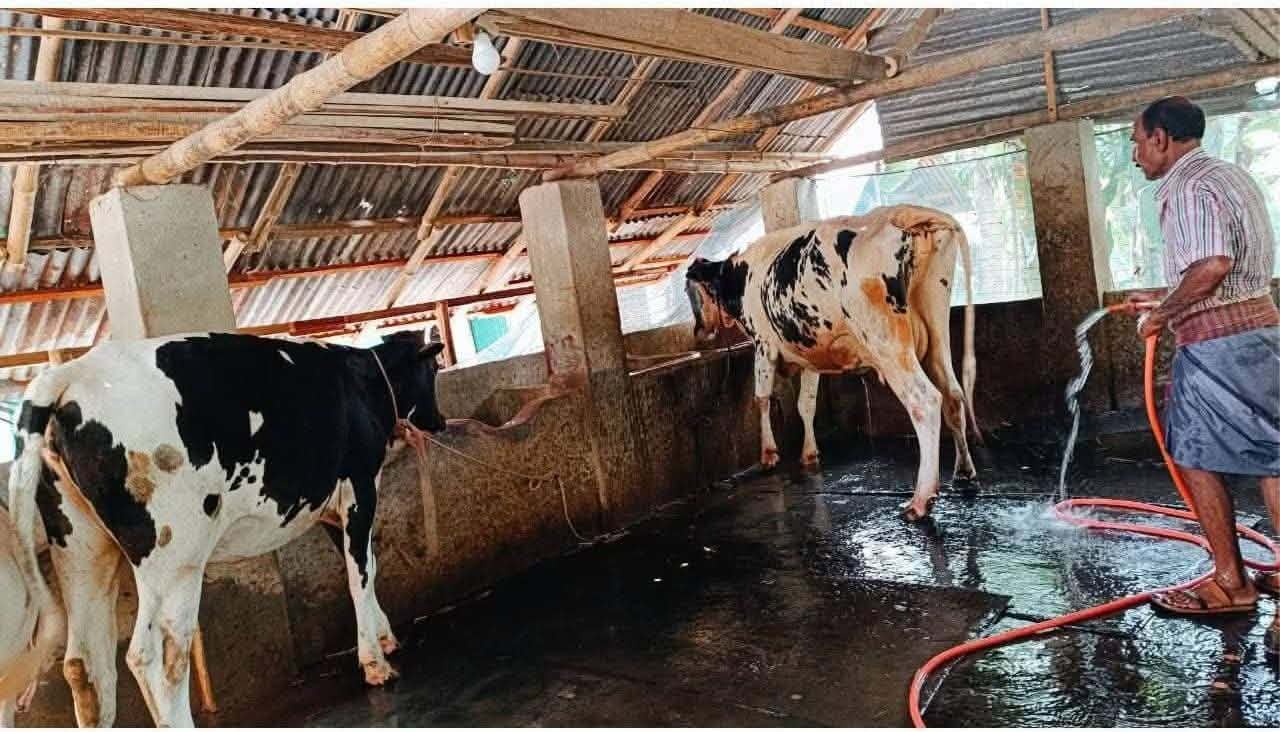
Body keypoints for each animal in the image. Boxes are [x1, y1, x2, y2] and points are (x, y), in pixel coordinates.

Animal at [6, 330, 446, 727]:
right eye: (434, 369)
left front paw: (385, 637)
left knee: (84, 663)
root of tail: (72, 372)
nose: (440, 421)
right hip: (172, 557)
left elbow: (365, 565)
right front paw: (375, 663)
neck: (363, 378)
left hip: (81, 550)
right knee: (156, 655)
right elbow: (361, 574)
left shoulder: (330, 508)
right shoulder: (360, 488)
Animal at [685, 204, 979, 521]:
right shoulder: (810, 354)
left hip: (886, 340)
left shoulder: (763, 344)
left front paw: (769, 454)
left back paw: (921, 499)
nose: (699, 332)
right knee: (953, 394)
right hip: (936, 328)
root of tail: (901, 212)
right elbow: (806, 404)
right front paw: (809, 453)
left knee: (925, 401)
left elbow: (761, 399)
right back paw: (964, 472)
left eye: (690, 292)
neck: (740, 274)